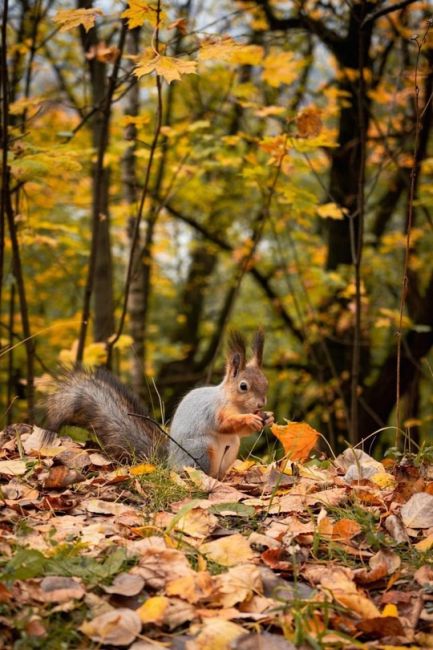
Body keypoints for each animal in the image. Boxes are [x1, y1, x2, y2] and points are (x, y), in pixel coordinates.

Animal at [44, 330, 274, 476]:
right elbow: (225, 424)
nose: (261, 404)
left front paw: (268, 418)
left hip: (230, 450)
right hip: (200, 450)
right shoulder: (213, 411)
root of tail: (170, 462)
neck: (234, 404)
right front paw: (250, 419)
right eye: (243, 386)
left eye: (266, 382)